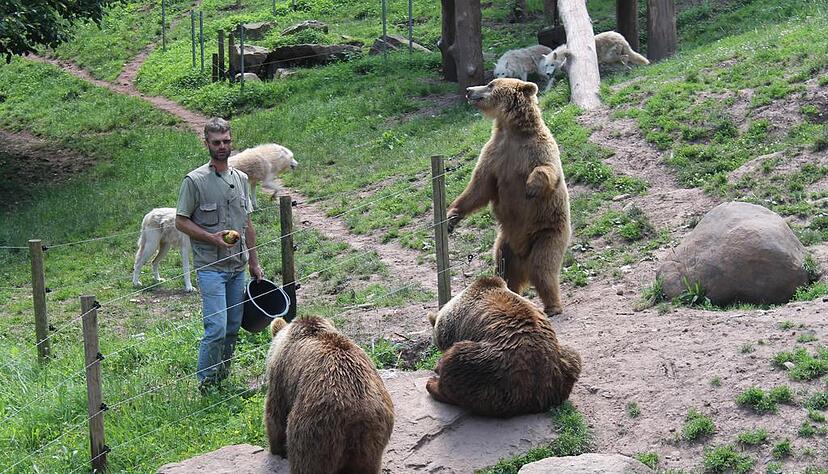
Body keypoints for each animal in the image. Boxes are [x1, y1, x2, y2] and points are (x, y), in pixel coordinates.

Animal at [264, 316, 395, 474]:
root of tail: (357, 415)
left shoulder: (281, 375)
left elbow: (275, 415)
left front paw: (276, 451)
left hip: (315, 431)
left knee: (306, 463)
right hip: (372, 439)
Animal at [426, 276, 581, 417]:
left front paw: (438, 365)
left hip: (492, 370)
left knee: (458, 360)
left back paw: (433, 383)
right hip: (561, 362)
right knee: (573, 356)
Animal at [449, 77, 571, 316]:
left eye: (490, 84)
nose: (468, 90)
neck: (512, 130)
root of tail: (523, 256)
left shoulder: (536, 148)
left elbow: (548, 170)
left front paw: (531, 187)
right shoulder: (495, 154)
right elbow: (479, 187)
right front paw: (452, 216)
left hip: (547, 233)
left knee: (543, 268)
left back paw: (553, 306)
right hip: (505, 245)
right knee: (504, 270)